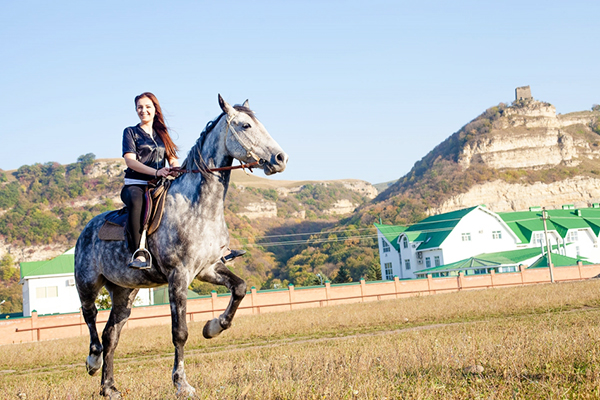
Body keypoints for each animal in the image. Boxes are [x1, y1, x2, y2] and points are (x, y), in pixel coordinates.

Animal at [74, 95, 290, 398]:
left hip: (124, 292)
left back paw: (109, 387)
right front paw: (181, 383)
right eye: (245, 125)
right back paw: (93, 361)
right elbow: (180, 332)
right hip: (87, 283)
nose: (280, 159)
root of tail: (87, 229)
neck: (199, 207)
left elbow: (240, 287)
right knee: (90, 317)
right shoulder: (178, 276)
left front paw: (213, 327)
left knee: (111, 335)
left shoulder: (208, 269)